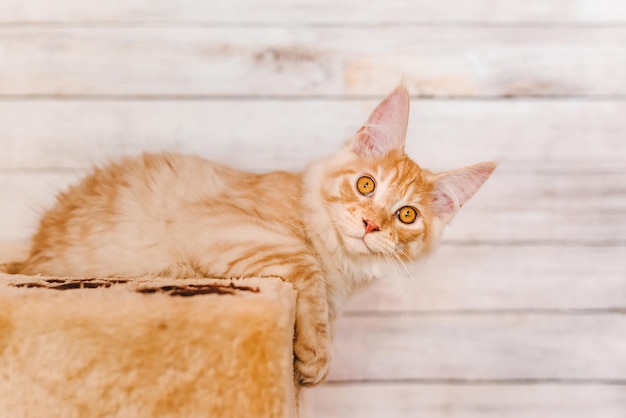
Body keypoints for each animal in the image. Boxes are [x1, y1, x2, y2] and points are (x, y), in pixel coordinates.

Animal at [13, 86, 492, 386]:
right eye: (366, 185)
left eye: (406, 215)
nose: (370, 225)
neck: (341, 270)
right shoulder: (211, 223)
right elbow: (304, 264)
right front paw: (315, 355)